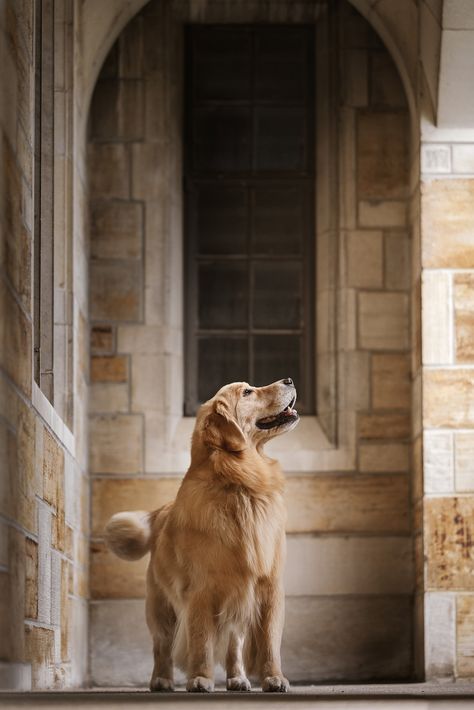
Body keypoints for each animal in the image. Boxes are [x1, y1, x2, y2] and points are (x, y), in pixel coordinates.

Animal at [104, 382, 296, 692]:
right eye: (247, 392)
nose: (289, 380)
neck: (240, 483)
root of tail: (162, 510)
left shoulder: (269, 585)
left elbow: (269, 641)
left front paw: (273, 677)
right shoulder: (202, 591)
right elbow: (201, 640)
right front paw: (200, 678)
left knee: (233, 644)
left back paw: (238, 678)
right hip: (160, 606)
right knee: (162, 645)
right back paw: (161, 680)